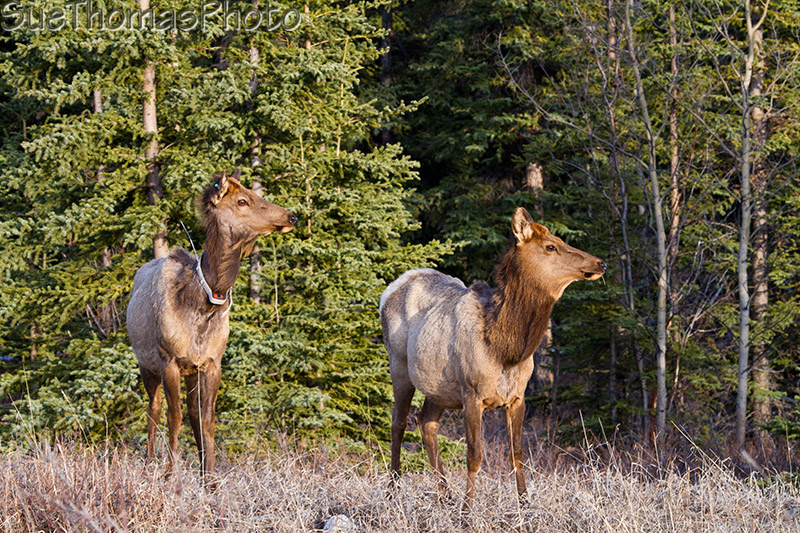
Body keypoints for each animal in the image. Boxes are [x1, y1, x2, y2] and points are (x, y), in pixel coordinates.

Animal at [126, 169, 296, 488]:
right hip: (147, 364)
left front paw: (212, 478)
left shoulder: (211, 362)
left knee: (192, 412)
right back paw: (148, 463)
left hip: (191, 370)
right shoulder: (169, 359)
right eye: (242, 201)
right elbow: (174, 416)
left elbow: (206, 418)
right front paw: (170, 474)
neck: (203, 306)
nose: (291, 216)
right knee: (154, 409)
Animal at [380, 207, 606, 507]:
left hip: (440, 387)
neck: (506, 350)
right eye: (550, 246)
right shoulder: (472, 395)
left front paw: (525, 505)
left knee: (426, 422)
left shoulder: (517, 397)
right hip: (399, 367)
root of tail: (391, 287)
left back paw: (445, 495)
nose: (601, 263)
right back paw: (393, 491)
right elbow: (474, 457)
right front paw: (467, 510)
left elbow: (517, 455)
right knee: (398, 424)